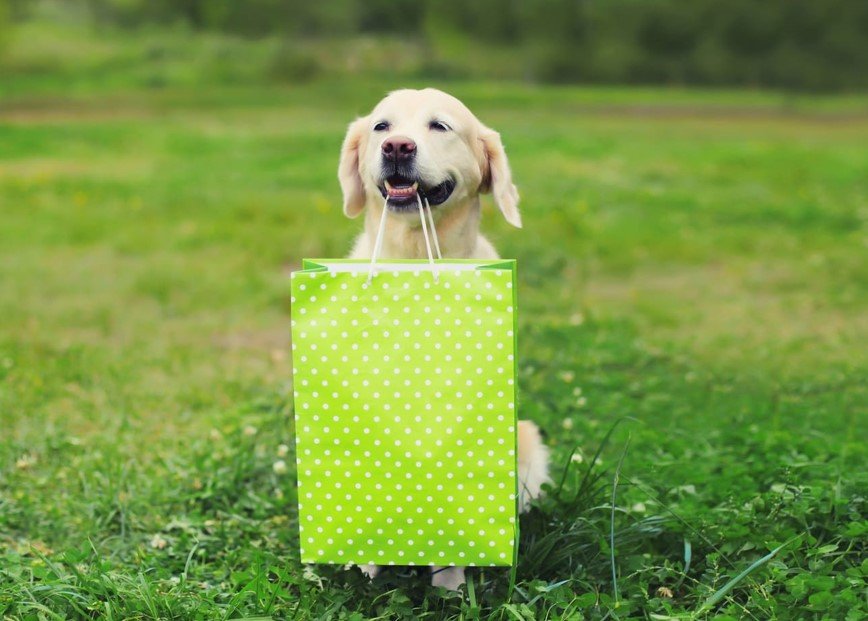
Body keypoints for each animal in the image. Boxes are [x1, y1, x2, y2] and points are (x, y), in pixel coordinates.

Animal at [338, 86, 548, 588]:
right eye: (382, 126)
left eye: (440, 126)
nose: (397, 147)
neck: (415, 258)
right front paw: (366, 567)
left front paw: (448, 585)